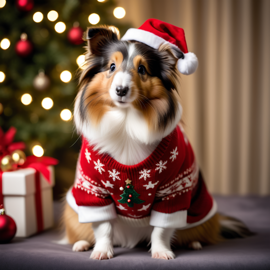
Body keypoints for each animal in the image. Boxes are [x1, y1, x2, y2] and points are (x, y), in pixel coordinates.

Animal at [62, 19, 252, 260]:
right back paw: (82, 244)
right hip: (72, 211)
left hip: (198, 212)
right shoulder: (93, 190)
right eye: (112, 67)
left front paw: (161, 252)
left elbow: (161, 229)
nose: (121, 90)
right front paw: (102, 251)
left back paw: (195, 243)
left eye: (142, 69)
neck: (126, 122)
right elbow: (103, 227)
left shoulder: (173, 192)